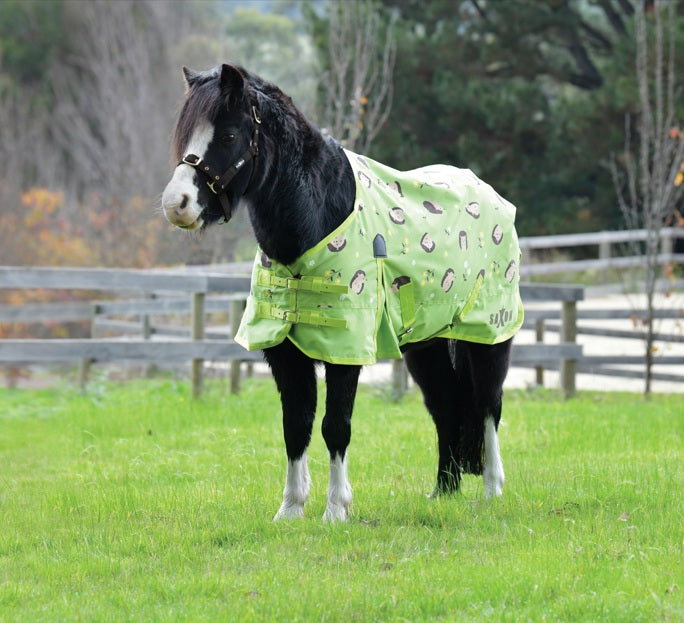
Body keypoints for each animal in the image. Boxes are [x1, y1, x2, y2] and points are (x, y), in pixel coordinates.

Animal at [161, 64, 523, 521]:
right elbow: (295, 426)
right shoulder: (285, 353)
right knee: (445, 406)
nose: (177, 204)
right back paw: (443, 492)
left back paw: (492, 489)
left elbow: (335, 426)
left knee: (489, 404)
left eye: (227, 135)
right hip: (427, 346)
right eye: (184, 135)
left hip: (489, 336)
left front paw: (336, 510)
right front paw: (291, 509)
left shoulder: (345, 350)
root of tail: (490, 195)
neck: (316, 217)